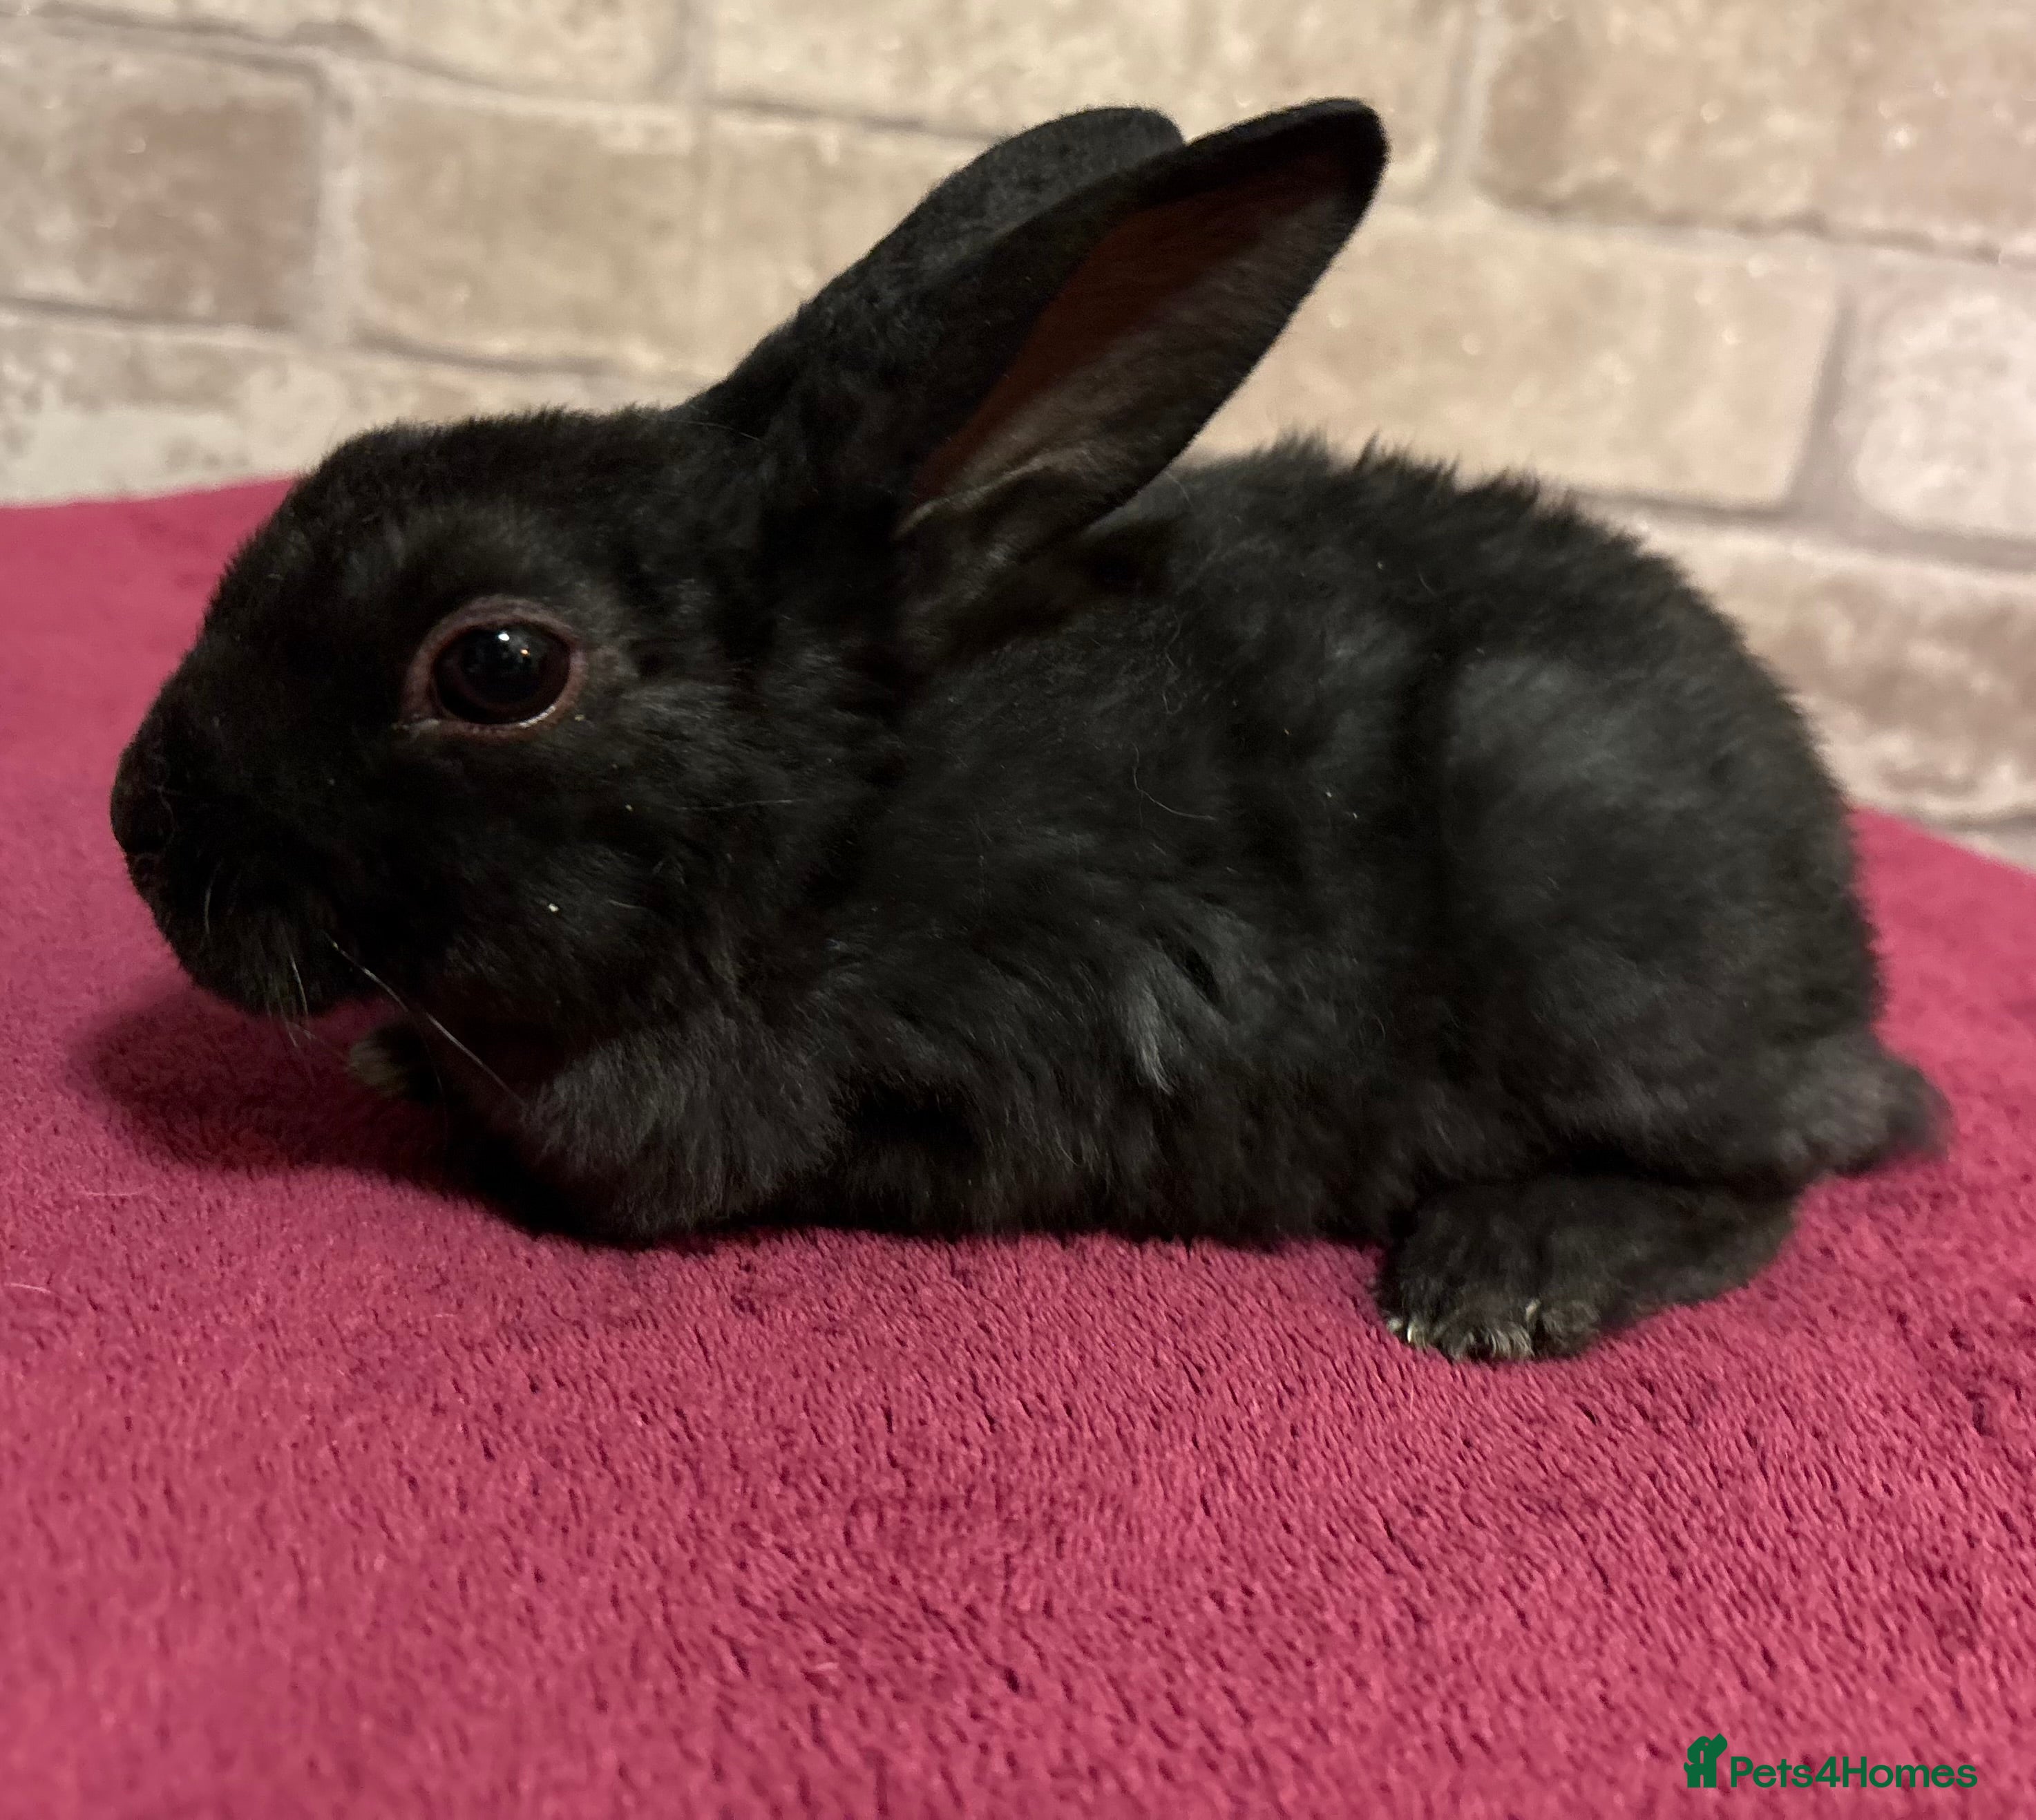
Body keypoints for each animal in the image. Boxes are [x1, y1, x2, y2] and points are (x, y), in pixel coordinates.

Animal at [111, 99, 1943, 1361]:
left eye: (496, 667)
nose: (140, 827)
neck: (814, 828)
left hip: (1595, 921)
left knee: (1770, 1174)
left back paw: (1504, 1273)